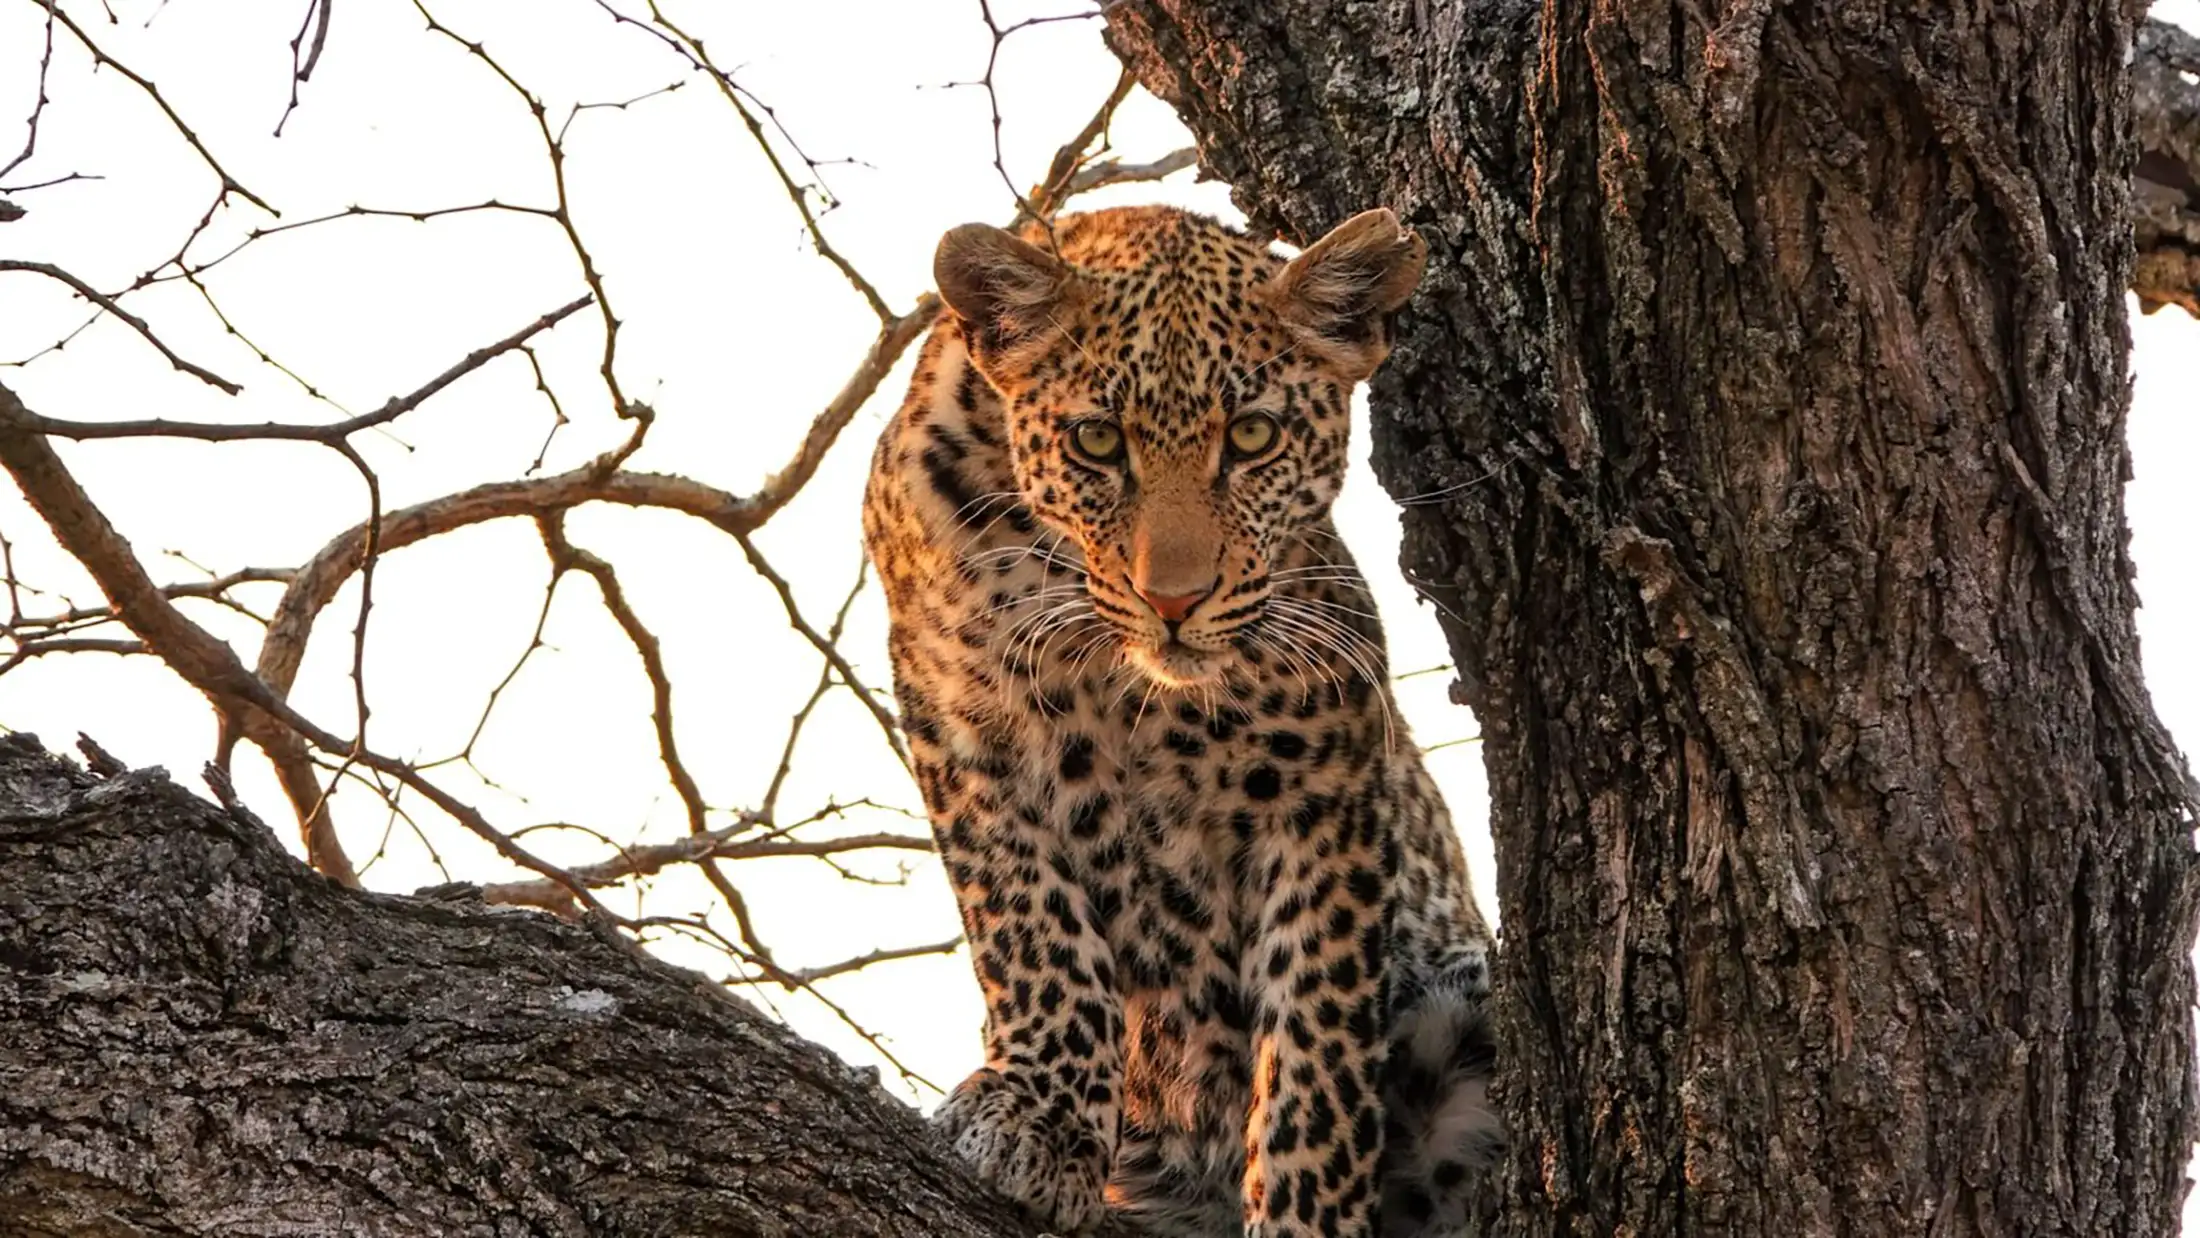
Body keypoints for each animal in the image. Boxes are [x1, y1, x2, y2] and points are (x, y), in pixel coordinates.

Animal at [863, 204, 1500, 1238]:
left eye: (1252, 436)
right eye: (1095, 442)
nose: (1174, 600)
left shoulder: (1325, 789)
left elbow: (1315, 1058)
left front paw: (1302, 1216)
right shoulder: (959, 730)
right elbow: (1033, 928)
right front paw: (1038, 1120)